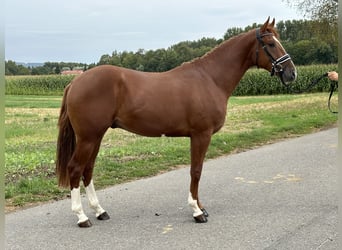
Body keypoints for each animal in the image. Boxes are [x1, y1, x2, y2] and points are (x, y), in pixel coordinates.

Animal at [56, 17, 296, 228]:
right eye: (271, 44)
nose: (292, 73)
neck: (210, 78)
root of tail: (75, 81)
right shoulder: (201, 134)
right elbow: (196, 171)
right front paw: (197, 212)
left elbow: (196, 171)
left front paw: (201, 206)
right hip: (88, 137)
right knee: (75, 169)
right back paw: (82, 217)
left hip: (96, 137)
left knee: (88, 170)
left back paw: (99, 211)